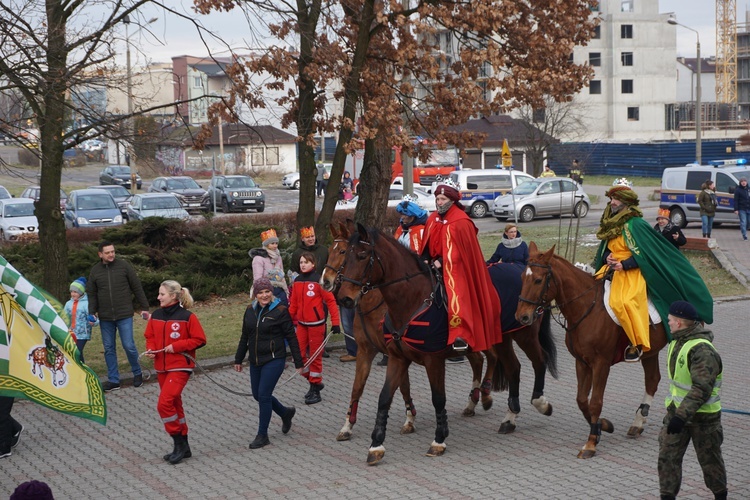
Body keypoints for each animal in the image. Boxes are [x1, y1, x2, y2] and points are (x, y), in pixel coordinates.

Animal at [334, 224, 560, 464]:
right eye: (345, 256)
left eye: (361, 256)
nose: (344, 298)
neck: (413, 299)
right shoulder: (396, 358)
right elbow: (384, 397)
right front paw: (376, 444)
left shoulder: (433, 360)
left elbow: (438, 398)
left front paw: (439, 439)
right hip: (503, 339)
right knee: (512, 367)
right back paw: (509, 417)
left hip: (524, 334)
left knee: (538, 361)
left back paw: (538, 403)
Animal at [516, 244, 668, 458]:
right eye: (522, 277)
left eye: (538, 280)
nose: (522, 316)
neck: (586, 309)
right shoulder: (581, 362)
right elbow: (582, 400)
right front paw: (602, 426)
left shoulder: (601, 364)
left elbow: (595, 401)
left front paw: (591, 443)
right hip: (650, 350)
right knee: (652, 380)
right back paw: (637, 423)